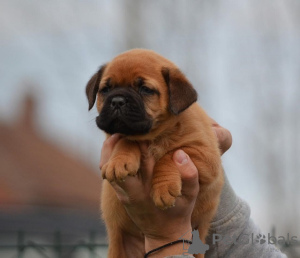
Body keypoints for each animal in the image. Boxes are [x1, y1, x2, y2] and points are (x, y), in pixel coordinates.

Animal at [85, 49, 224, 258]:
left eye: (145, 89)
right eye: (106, 89)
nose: (117, 101)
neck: (153, 137)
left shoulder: (205, 153)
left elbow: (169, 156)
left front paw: (164, 186)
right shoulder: (120, 135)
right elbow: (126, 139)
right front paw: (119, 161)